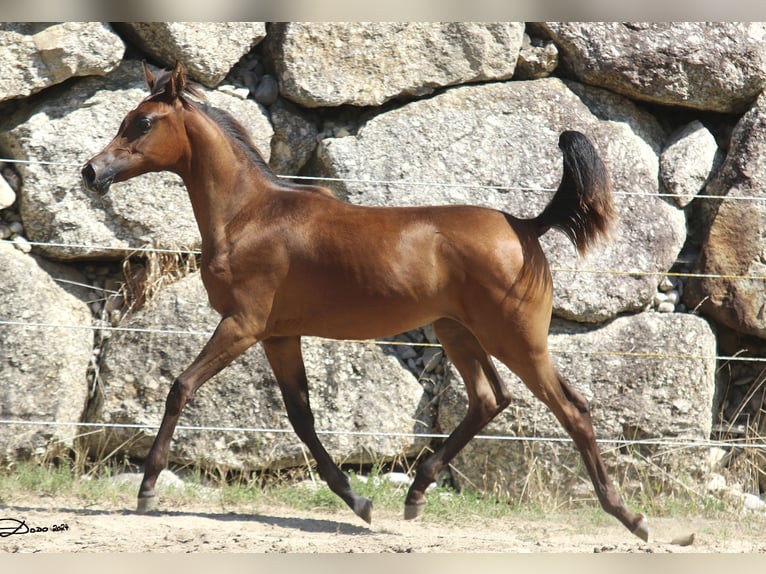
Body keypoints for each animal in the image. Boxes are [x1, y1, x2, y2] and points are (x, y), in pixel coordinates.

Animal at [82, 63, 648, 544]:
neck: (250, 215)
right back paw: (416, 493)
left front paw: (147, 489)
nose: (90, 172)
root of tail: (526, 227)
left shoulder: (242, 325)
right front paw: (357, 500)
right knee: (491, 399)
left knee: (572, 409)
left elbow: (181, 387)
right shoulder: (279, 335)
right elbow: (302, 417)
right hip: (458, 332)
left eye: (143, 122)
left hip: (517, 339)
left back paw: (629, 516)